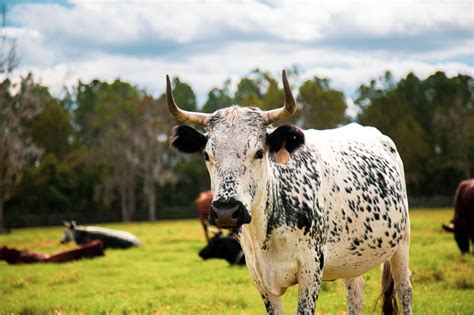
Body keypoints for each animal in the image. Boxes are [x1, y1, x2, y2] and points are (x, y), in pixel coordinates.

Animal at [166, 70, 412, 314]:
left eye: (259, 152)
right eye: (206, 154)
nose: (226, 211)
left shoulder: (311, 269)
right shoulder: (260, 277)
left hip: (402, 243)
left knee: (404, 290)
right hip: (351, 260)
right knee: (356, 293)